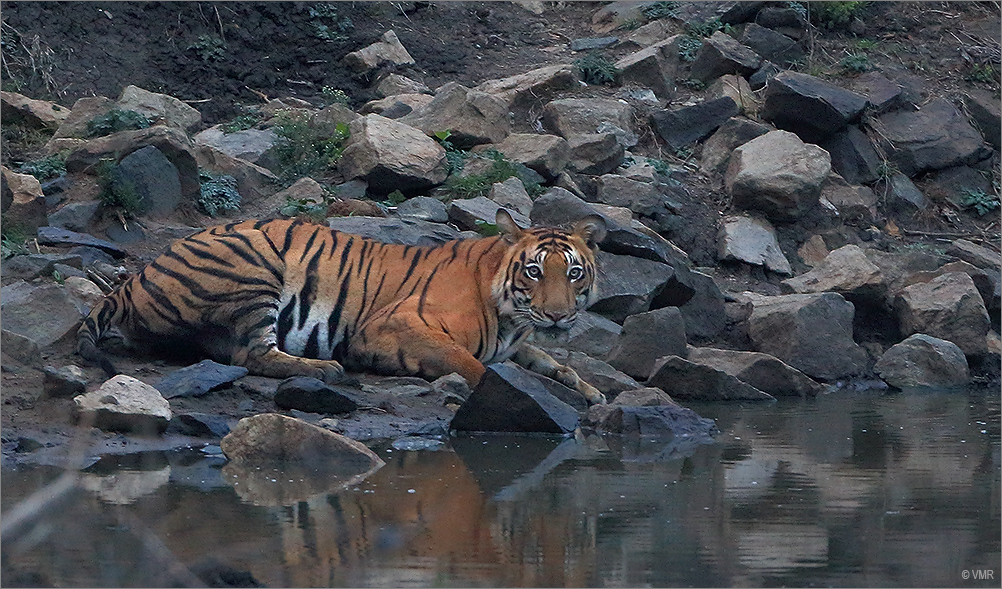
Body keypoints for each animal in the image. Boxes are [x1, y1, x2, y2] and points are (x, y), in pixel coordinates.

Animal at [77, 209, 608, 405]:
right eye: (534, 271)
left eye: (573, 273)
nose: (557, 315)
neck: (511, 316)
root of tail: (132, 279)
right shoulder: (393, 325)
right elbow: (467, 361)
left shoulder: (520, 345)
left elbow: (555, 364)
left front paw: (589, 391)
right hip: (253, 260)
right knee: (251, 354)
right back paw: (325, 369)